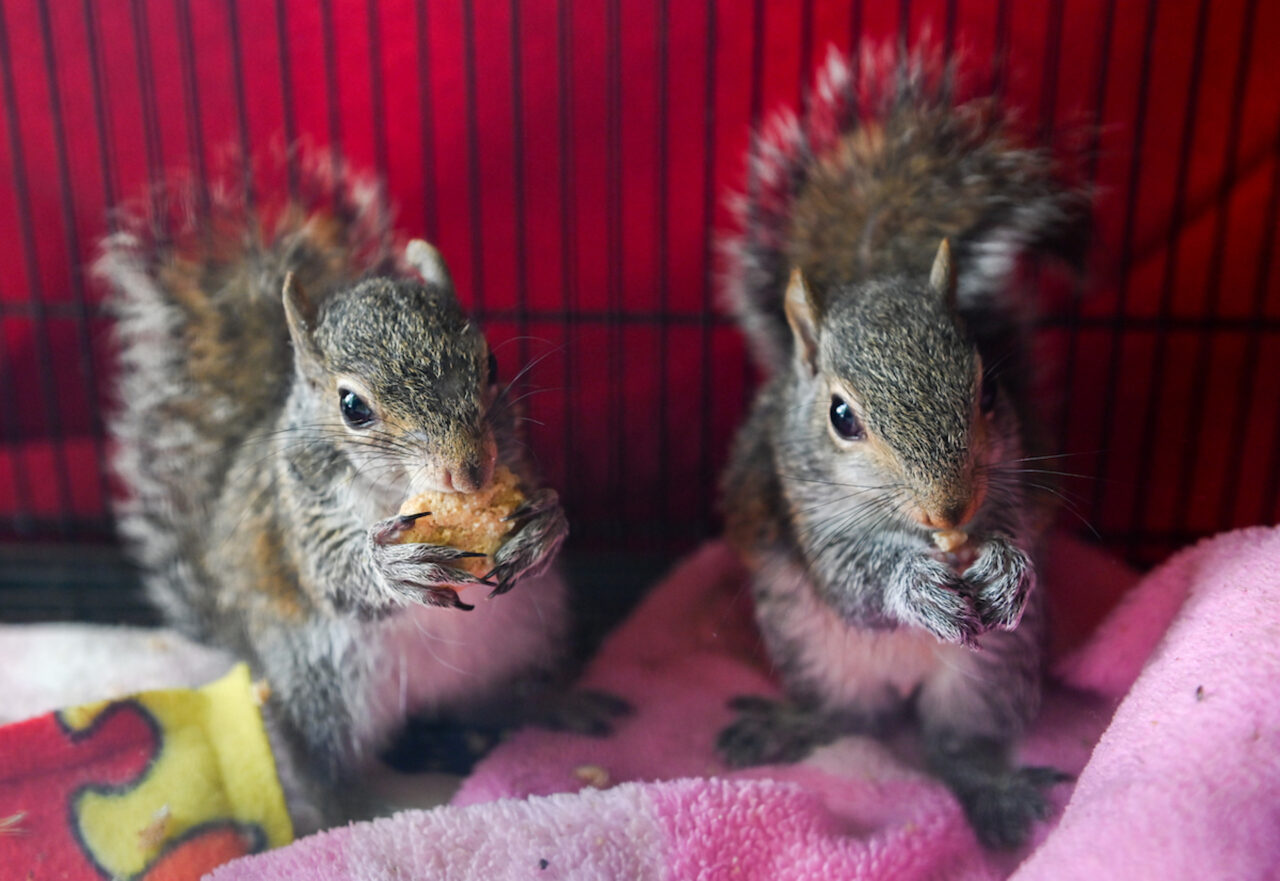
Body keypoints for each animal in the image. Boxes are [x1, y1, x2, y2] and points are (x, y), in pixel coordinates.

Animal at [95, 159, 624, 824]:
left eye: (493, 366)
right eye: (352, 407)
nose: (470, 473)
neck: (397, 488)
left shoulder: (514, 455)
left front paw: (546, 525)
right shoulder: (299, 503)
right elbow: (333, 572)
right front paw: (389, 566)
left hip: (532, 632)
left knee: (502, 703)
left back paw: (561, 705)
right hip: (321, 687)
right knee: (320, 766)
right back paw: (343, 813)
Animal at [715, 47, 1088, 849]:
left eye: (988, 390)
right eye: (841, 417)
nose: (951, 511)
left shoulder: (1008, 482)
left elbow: (1014, 532)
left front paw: (1006, 566)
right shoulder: (802, 508)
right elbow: (855, 582)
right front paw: (913, 583)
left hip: (992, 673)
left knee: (957, 746)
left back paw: (996, 792)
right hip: (812, 650)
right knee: (846, 716)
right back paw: (789, 724)